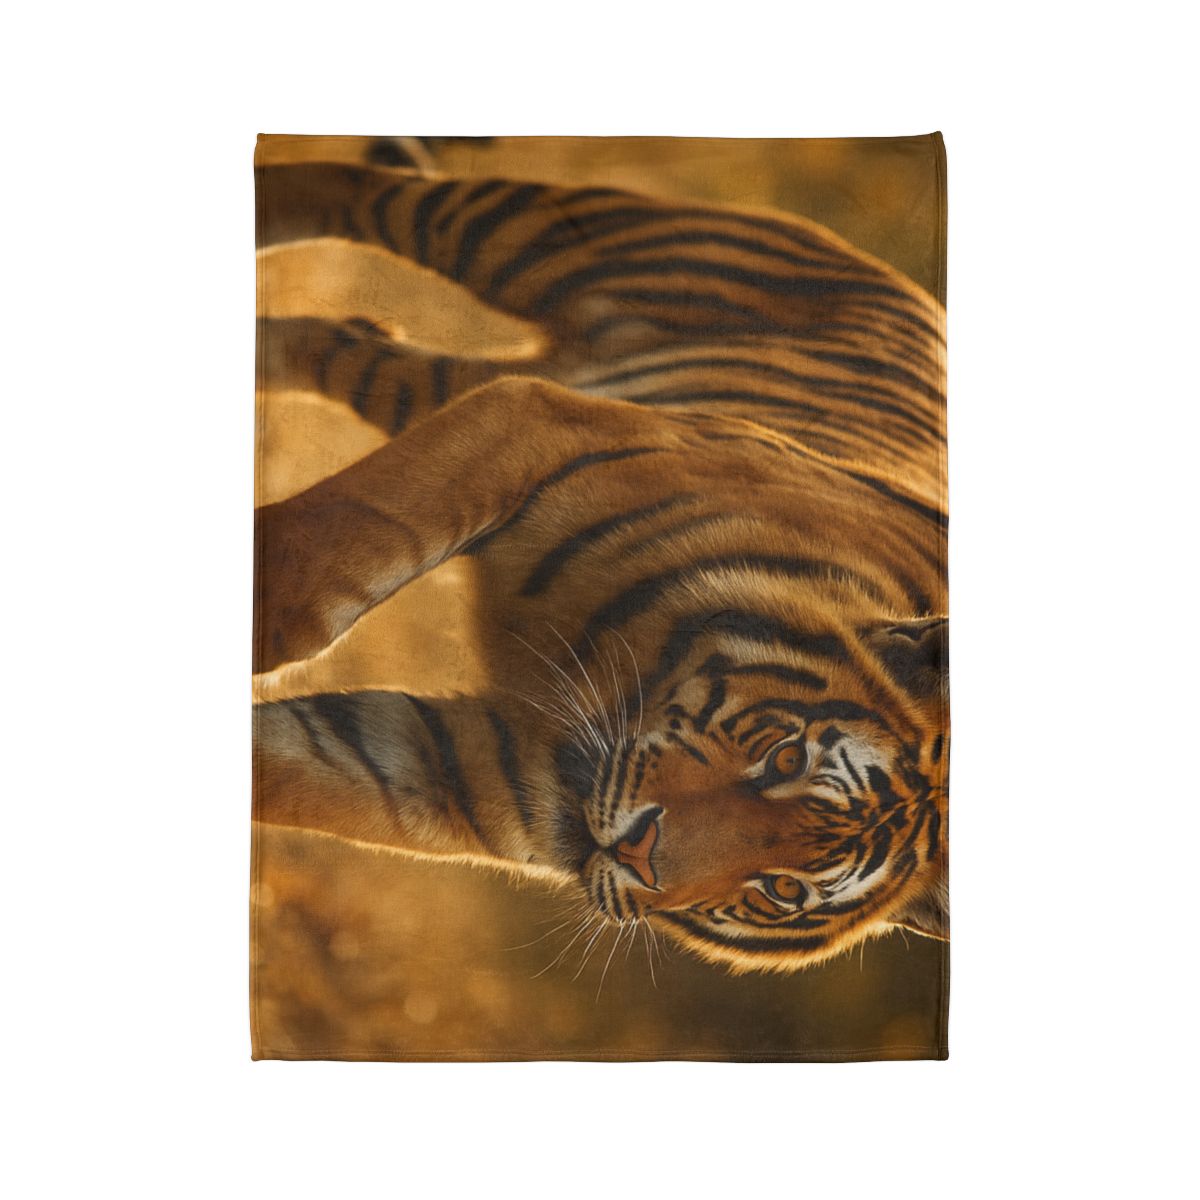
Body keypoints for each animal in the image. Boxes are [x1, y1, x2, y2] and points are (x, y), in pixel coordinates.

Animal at [253, 147, 948, 973]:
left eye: (782, 891)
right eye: (786, 759)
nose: (641, 855)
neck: (628, 682)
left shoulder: (467, 767)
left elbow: (289, 764)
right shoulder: (538, 419)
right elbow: (343, 550)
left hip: (428, 383)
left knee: (342, 340)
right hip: (539, 242)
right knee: (360, 188)